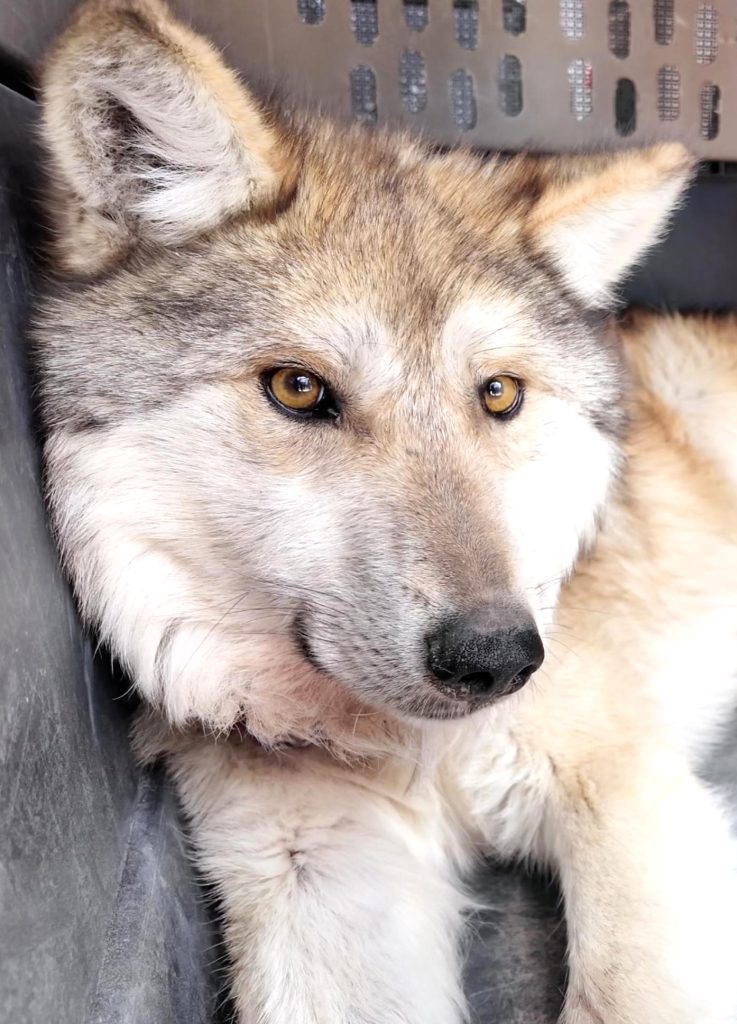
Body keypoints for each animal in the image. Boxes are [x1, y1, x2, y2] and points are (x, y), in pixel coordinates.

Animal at [34, 1, 737, 1021]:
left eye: (497, 394)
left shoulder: (628, 796)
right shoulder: (315, 865)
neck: (417, 753)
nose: (497, 658)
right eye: (297, 389)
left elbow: (623, 995)